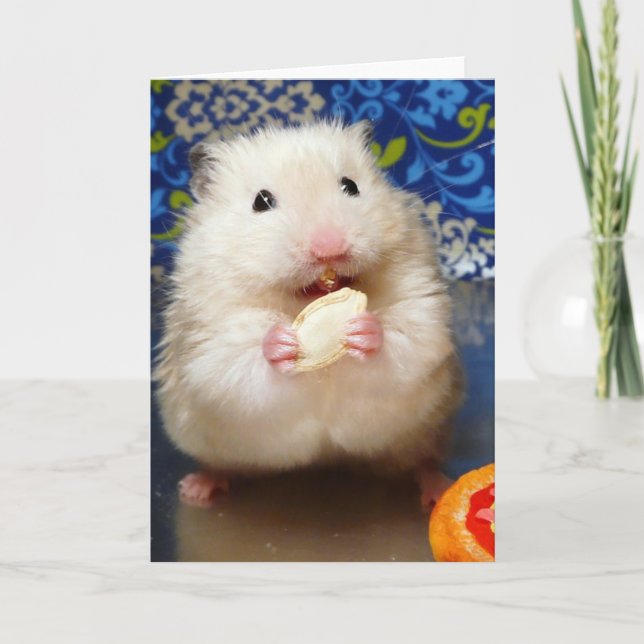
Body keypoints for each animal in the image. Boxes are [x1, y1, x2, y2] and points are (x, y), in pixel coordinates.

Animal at [154, 119, 463, 509]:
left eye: (350, 186)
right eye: (261, 202)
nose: (329, 249)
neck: (300, 303)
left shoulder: (422, 304)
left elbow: (408, 339)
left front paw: (364, 330)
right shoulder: (206, 339)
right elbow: (236, 362)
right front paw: (282, 343)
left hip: (427, 432)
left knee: (421, 462)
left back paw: (438, 490)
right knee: (219, 464)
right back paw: (196, 490)